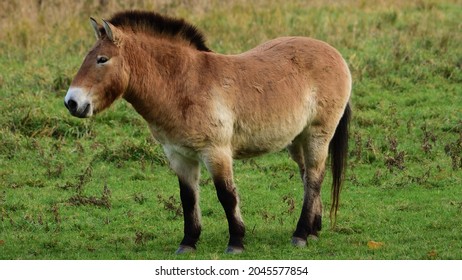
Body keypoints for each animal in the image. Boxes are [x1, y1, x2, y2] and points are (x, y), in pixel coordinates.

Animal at [65, 10, 352, 254]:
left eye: (102, 60)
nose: (72, 103)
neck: (184, 85)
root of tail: (334, 53)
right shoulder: (179, 155)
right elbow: (188, 198)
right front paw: (188, 242)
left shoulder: (216, 152)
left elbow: (226, 195)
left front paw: (236, 242)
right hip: (297, 139)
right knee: (307, 178)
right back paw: (314, 230)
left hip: (318, 135)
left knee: (314, 177)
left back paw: (301, 234)